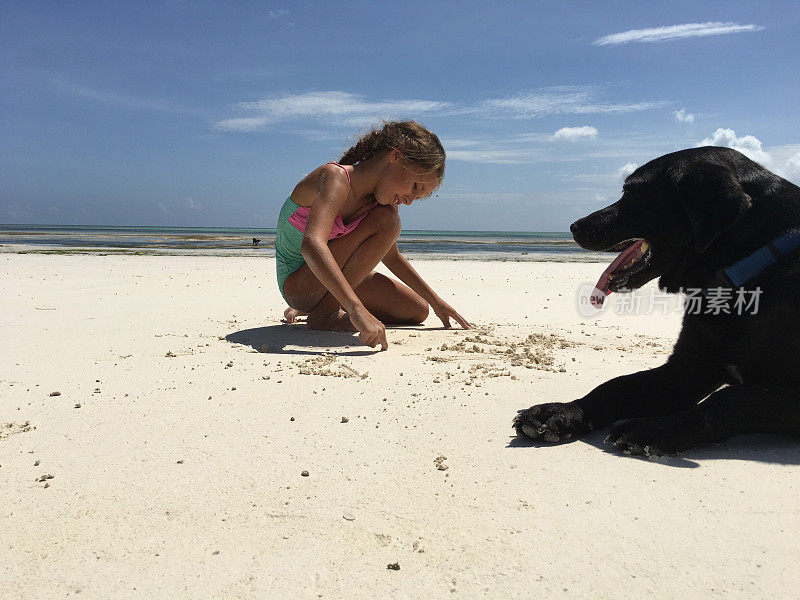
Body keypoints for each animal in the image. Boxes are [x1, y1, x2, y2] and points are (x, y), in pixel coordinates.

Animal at [516, 148, 796, 458]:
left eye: (632, 193)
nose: (574, 226)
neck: (744, 270)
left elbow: (731, 399)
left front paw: (652, 430)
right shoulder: (687, 368)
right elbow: (617, 386)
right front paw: (563, 413)